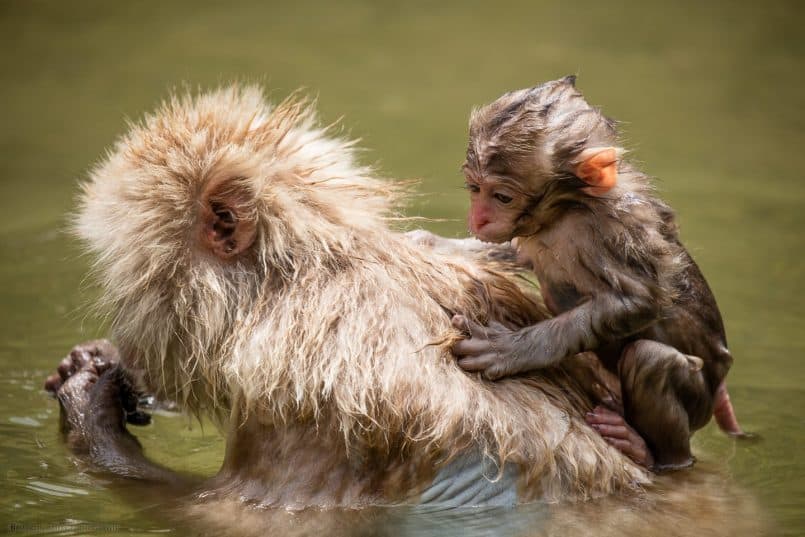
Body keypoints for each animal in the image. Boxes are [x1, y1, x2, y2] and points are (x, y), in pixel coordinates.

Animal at [45, 89, 648, 520]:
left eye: (129, 281)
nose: (131, 348)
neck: (297, 282)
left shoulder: (307, 393)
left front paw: (89, 406)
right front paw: (90, 366)